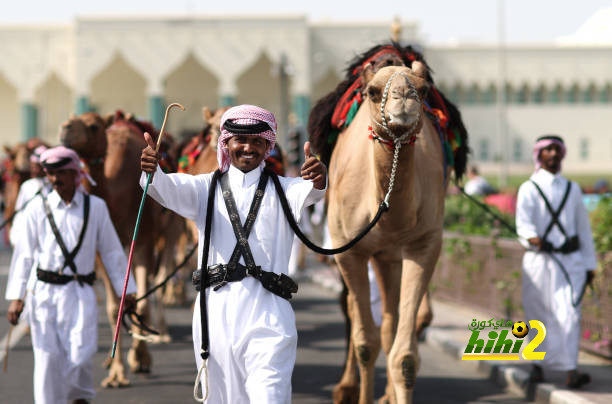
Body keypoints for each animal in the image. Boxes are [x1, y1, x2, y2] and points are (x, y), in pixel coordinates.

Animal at [326, 61, 460, 402]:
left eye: (423, 91)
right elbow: (365, 343)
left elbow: (405, 356)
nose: (404, 99)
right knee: (354, 311)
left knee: (390, 323)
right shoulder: (349, 249)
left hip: (388, 257)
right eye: (373, 92)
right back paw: (345, 388)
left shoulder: (424, 244)